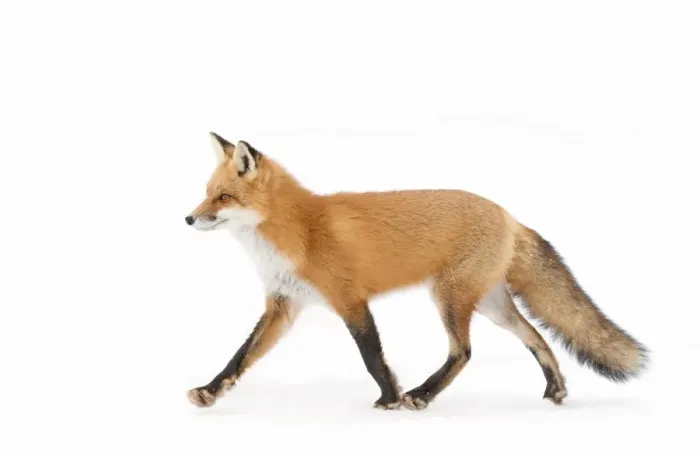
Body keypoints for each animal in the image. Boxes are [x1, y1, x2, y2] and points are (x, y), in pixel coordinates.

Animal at [184, 132, 649, 411]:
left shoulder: (350, 300)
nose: (188, 219)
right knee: (536, 337)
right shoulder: (283, 304)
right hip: (492, 306)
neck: (300, 230)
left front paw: (389, 397)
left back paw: (422, 395)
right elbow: (240, 356)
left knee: (464, 352)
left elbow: (372, 357)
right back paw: (555, 389)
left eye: (223, 197)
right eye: (206, 193)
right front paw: (210, 390)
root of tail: (509, 215)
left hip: (449, 298)